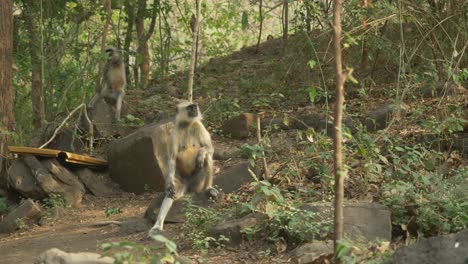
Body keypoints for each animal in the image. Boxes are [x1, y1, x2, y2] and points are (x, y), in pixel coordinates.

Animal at [147, 101, 218, 237]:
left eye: (194, 106)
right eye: (190, 108)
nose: (195, 109)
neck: (187, 124)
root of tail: (189, 186)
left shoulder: (198, 125)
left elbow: (209, 149)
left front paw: (201, 153)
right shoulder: (173, 134)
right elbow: (171, 159)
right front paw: (168, 183)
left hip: (198, 183)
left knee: (207, 158)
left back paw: (208, 188)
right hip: (181, 183)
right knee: (171, 192)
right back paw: (158, 225)